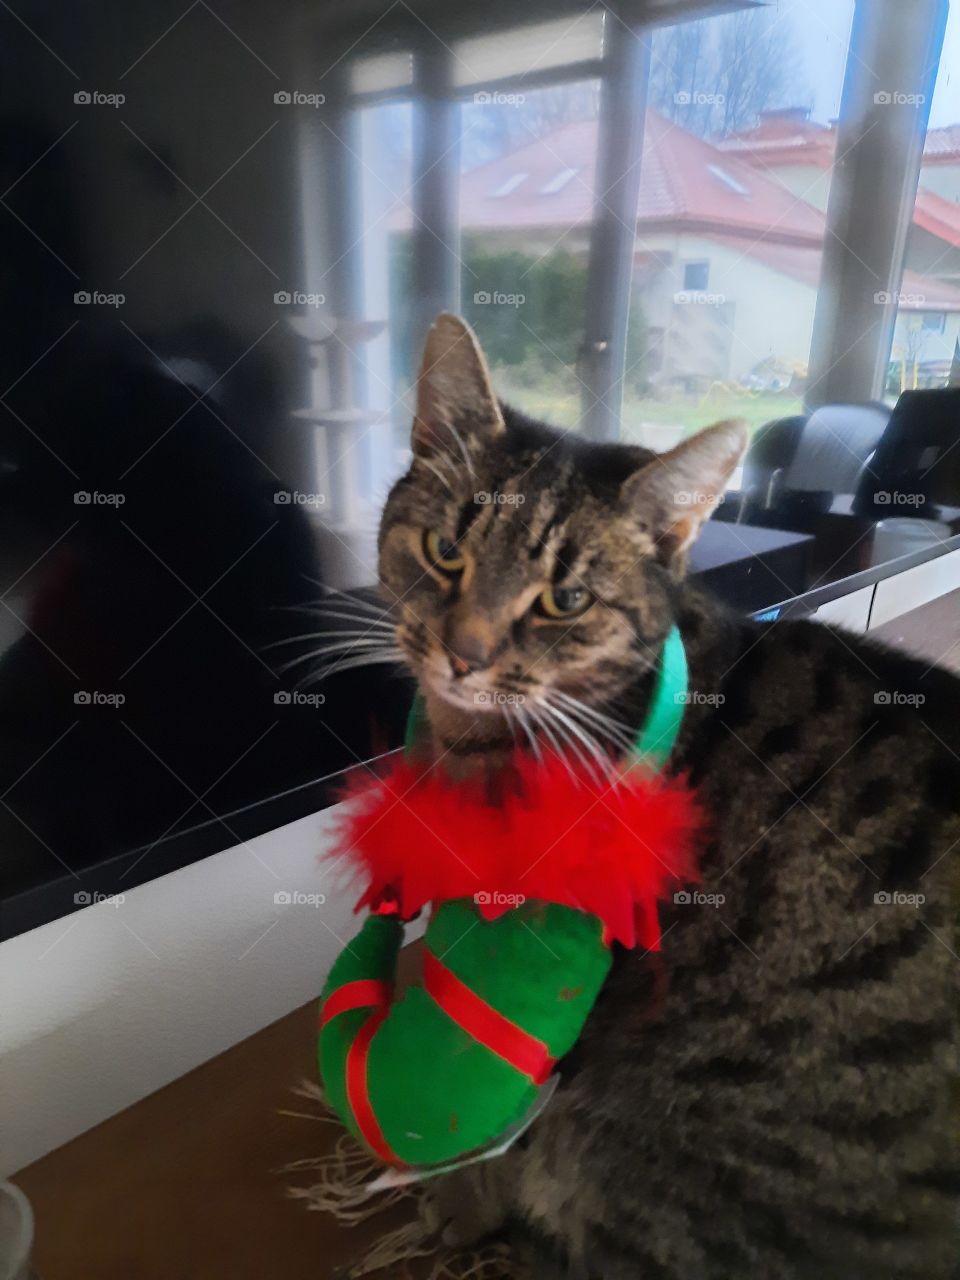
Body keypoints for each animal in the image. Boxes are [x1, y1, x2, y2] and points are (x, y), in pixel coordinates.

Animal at [371, 312, 957, 1280]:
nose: (463, 654)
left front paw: (465, 1194)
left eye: (566, 599)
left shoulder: (557, 973)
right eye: (445, 551)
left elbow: (507, 1105)